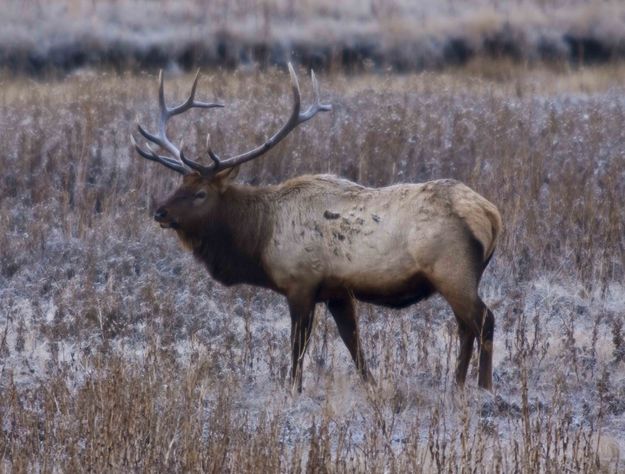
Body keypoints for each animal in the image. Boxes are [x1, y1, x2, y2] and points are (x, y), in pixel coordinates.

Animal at [132, 65, 502, 392]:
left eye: (200, 193)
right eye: (179, 184)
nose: (160, 212)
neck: (260, 239)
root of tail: (491, 214)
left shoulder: (301, 283)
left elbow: (298, 345)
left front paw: (292, 390)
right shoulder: (337, 291)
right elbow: (353, 343)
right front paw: (371, 386)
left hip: (451, 269)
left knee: (484, 320)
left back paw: (483, 388)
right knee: (465, 326)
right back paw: (457, 383)